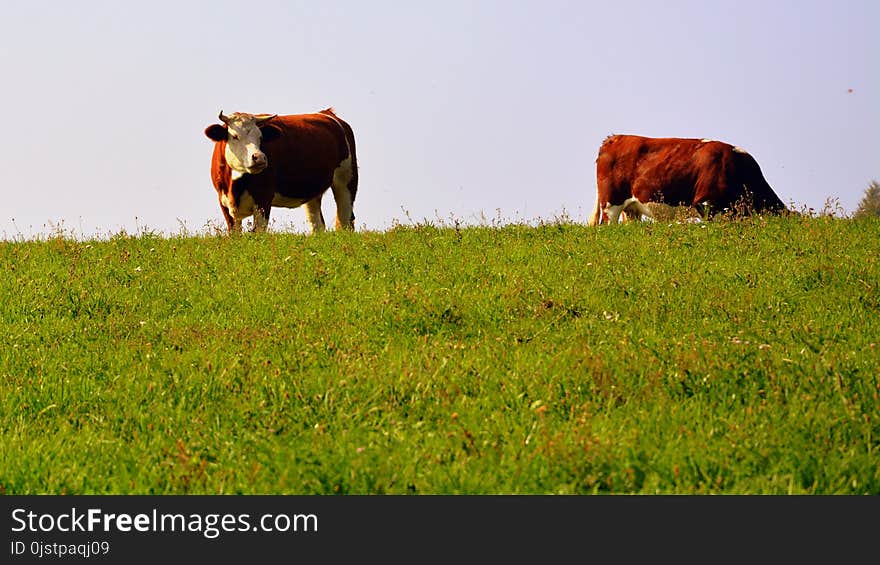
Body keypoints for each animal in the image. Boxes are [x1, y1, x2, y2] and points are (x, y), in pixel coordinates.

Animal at [203, 108, 358, 234]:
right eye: (235, 136)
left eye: (260, 137)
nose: (259, 157)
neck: (235, 186)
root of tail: (327, 113)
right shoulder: (223, 201)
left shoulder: (263, 198)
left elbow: (258, 232)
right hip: (312, 192)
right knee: (317, 224)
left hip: (347, 179)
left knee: (345, 219)